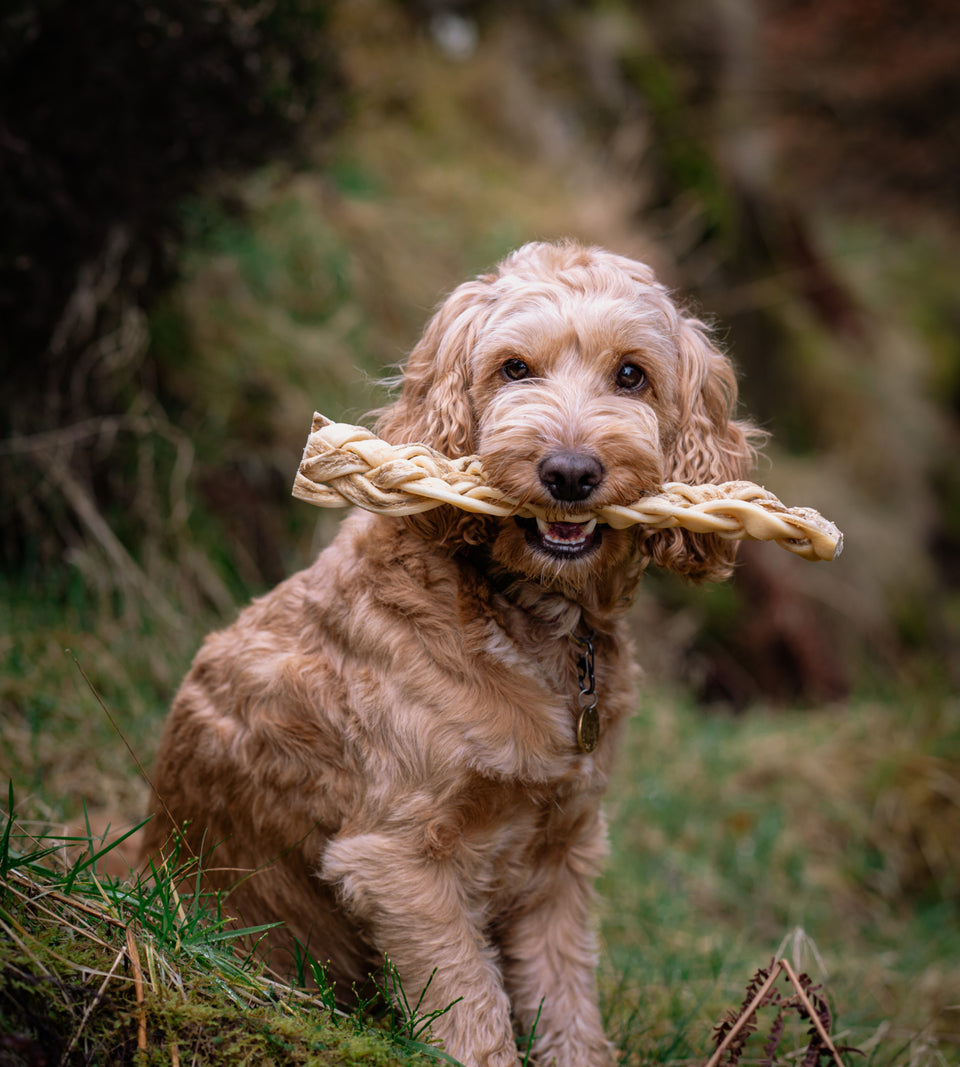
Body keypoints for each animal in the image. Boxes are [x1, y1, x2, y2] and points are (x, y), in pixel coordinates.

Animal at [140, 242, 759, 1067]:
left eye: (632, 374)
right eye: (513, 368)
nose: (569, 472)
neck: (528, 619)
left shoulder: (561, 855)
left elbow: (568, 999)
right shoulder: (398, 859)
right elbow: (472, 1007)